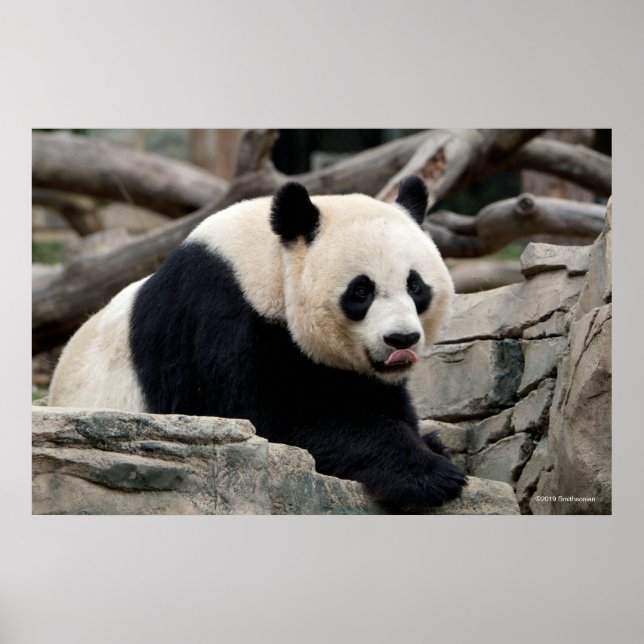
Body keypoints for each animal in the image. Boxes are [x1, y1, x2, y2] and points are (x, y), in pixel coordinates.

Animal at [49, 176, 466, 510]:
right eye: (361, 290)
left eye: (415, 285)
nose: (401, 339)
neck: (269, 263)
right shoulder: (222, 317)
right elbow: (268, 420)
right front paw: (432, 475)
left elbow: (374, 397)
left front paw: (431, 444)